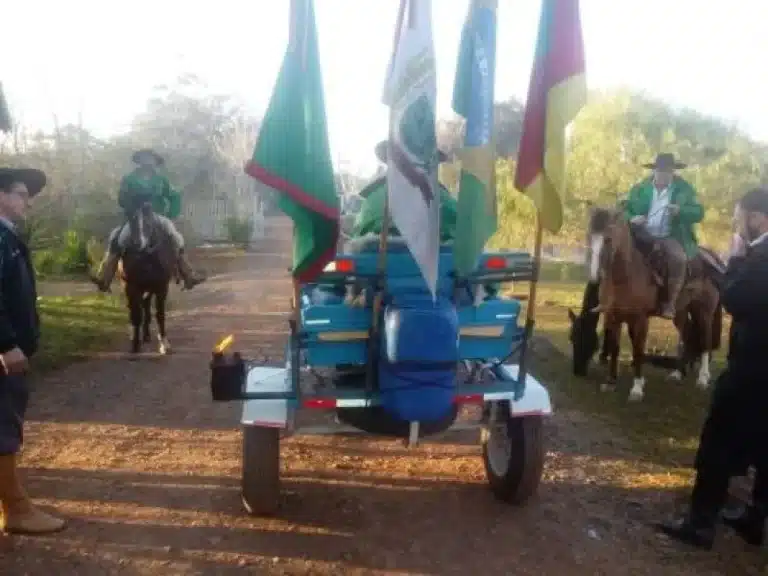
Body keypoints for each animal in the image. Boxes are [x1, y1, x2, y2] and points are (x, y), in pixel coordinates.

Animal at [119, 201, 176, 356]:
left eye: (149, 222)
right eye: (131, 220)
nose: (138, 244)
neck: (147, 257)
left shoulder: (162, 287)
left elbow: (160, 314)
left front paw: (164, 345)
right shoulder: (131, 287)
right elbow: (135, 315)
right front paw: (134, 345)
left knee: (146, 307)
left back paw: (146, 336)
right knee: (136, 309)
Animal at [568, 206, 728, 400]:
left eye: (608, 239)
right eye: (572, 338)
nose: (577, 371)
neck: (625, 276)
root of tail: (712, 258)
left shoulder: (640, 319)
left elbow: (638, 349)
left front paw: (637, 388)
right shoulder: (613, 317)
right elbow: (615, 347)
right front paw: (611, 382)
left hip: (703, 311)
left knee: (705, 341)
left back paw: (703, 378)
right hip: (680, 311)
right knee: (688, 334)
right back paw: (678, 373)